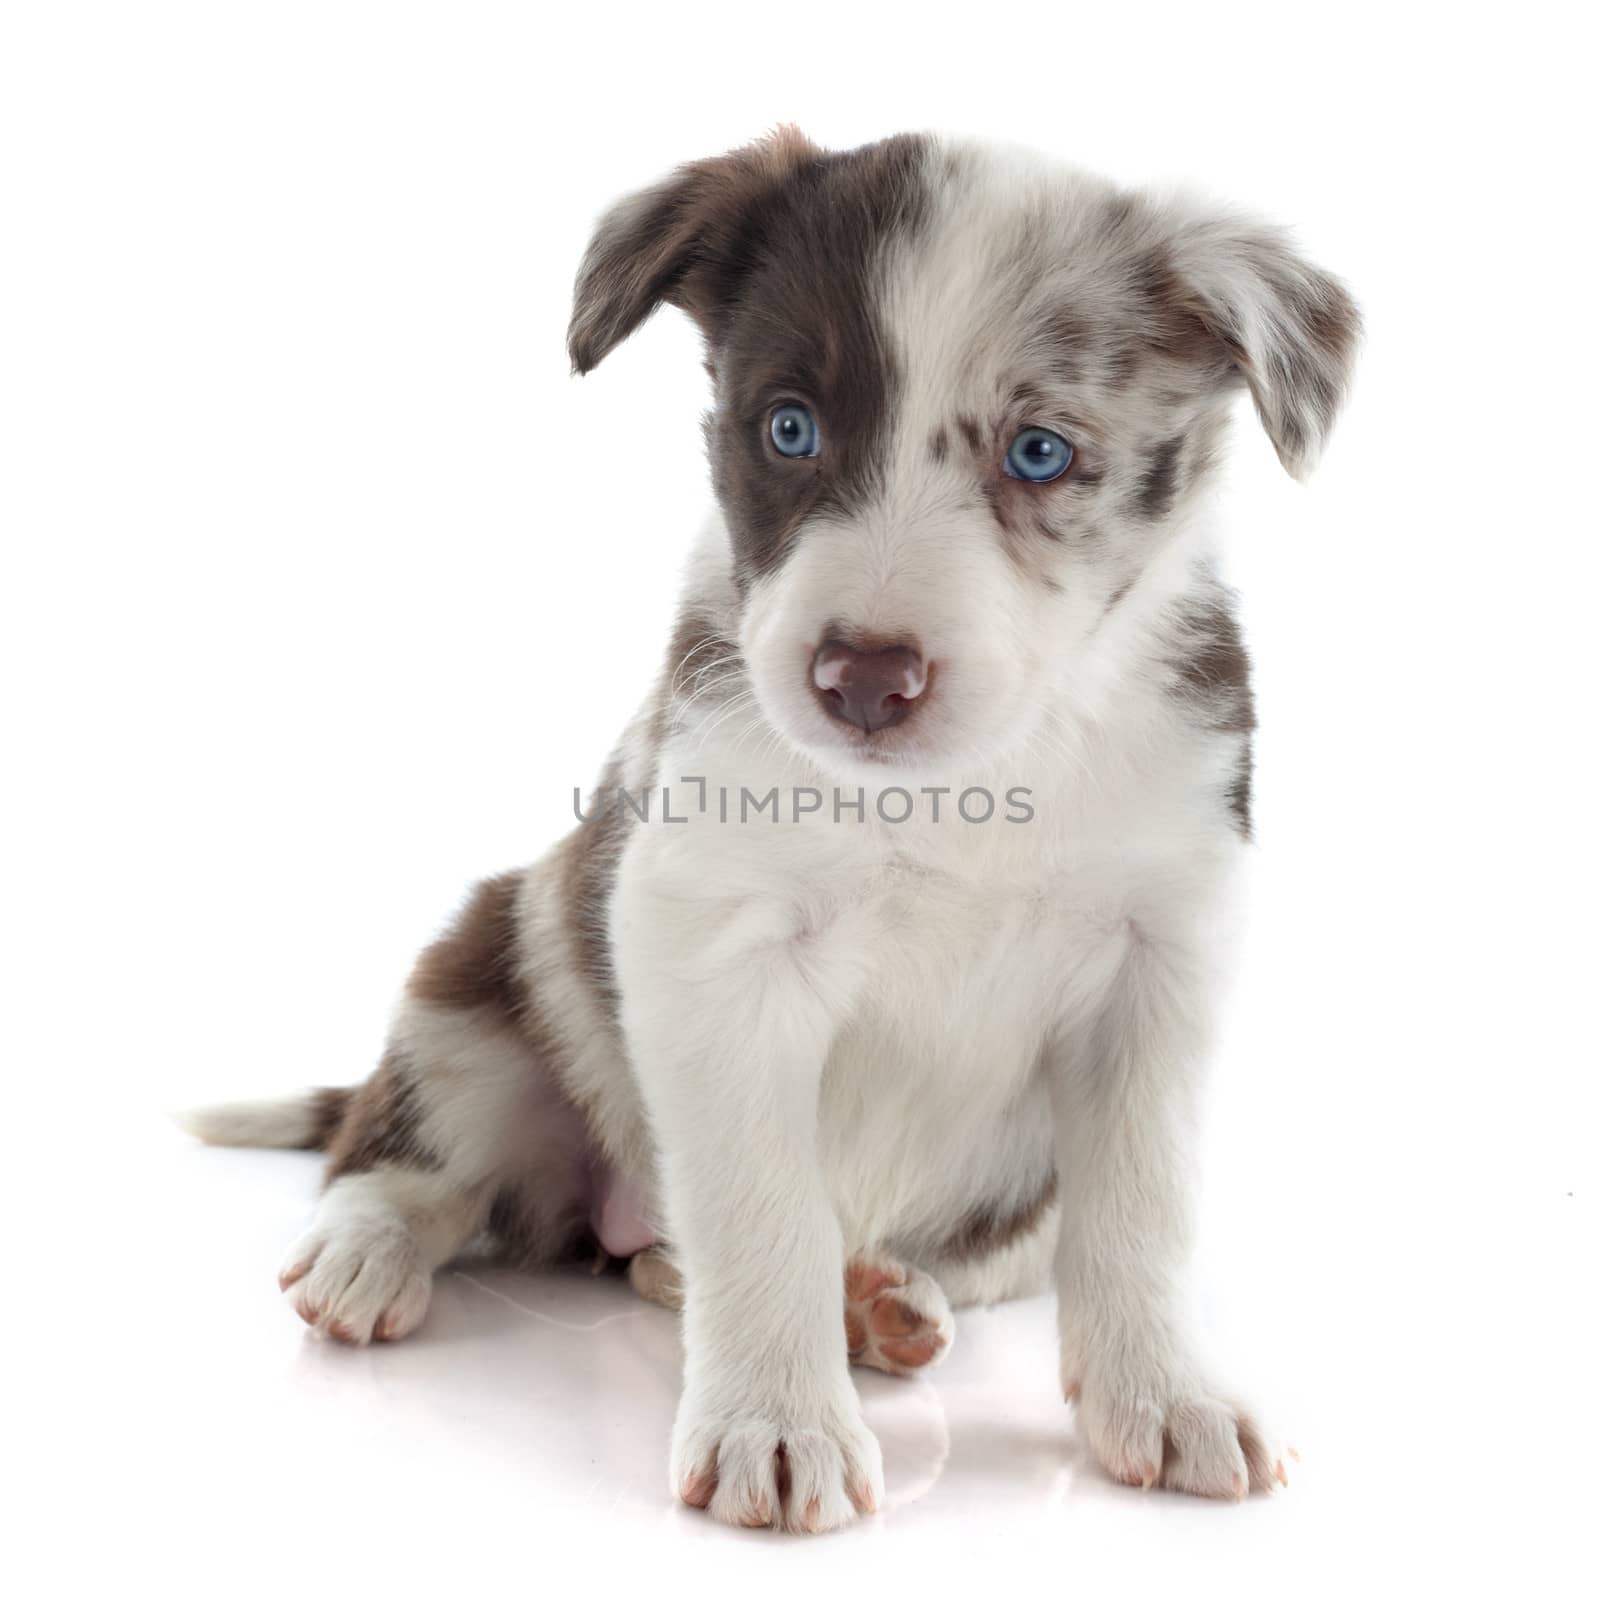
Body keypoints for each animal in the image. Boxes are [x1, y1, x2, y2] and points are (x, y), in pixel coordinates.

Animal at [190, 134, 1363, 1536]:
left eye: (1038, 452)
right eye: (787, 428)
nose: (862, 677)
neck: (964, 786)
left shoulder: (1163, 950)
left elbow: (1144, 1201)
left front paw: (1167, 1393)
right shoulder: (706, 938)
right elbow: (760, 1204)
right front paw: (777, 1422)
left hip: (1007, 1210)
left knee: (704, 1258)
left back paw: (876, 1300)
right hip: (488, 967)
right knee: (404, 1150)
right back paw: (364, 1254)